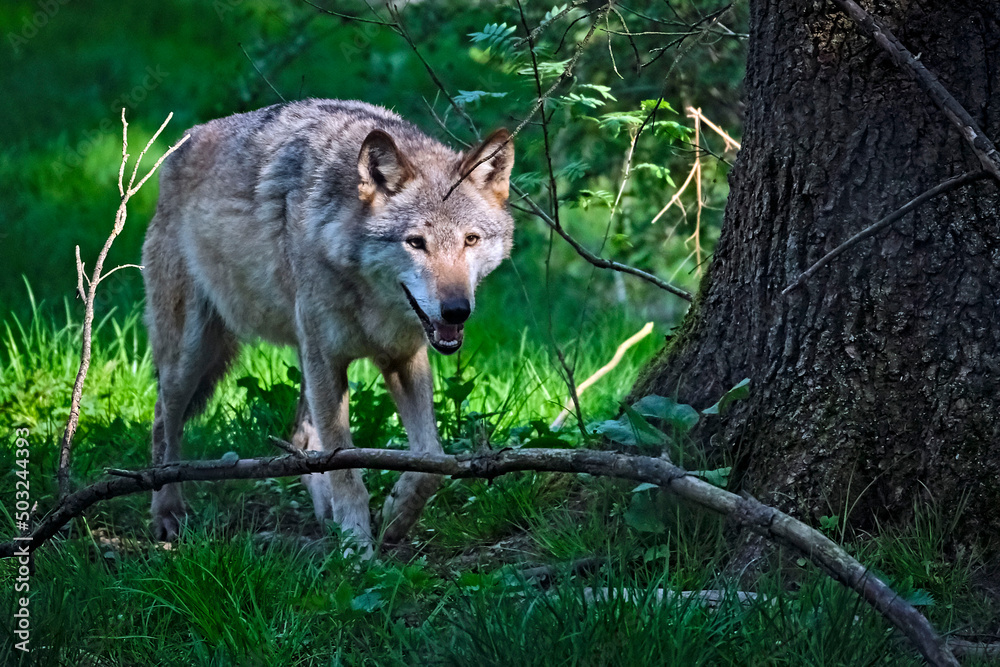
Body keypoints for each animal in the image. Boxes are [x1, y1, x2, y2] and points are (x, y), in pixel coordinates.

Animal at [141, 99, 514, 552]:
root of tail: (181, 144)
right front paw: (357, 548)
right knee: (163, 420)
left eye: (470, 240)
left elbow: (431, 460)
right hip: (191, 357)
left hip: (298, 355)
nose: (456, 310)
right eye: (415, 243)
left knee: (302, 439)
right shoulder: (329, 359)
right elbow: (345, 469)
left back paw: (327, 517)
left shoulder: (402, 357)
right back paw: (167, 511)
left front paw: (394, 517)